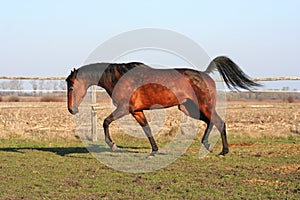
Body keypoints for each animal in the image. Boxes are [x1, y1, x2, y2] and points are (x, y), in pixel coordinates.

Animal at [65, 55, 260, 156]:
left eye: (71, 85)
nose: (71, 109)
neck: (120, 77)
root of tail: (204, 75)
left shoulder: (124, 108)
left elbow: (106, 121)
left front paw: (112, 145)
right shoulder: (137, 111)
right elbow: (147, 129)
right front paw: (154, 150)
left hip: (203, 106)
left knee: (219, 122)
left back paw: (223, 151)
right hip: (189, 108)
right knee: (210, 122)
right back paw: (207, 145)